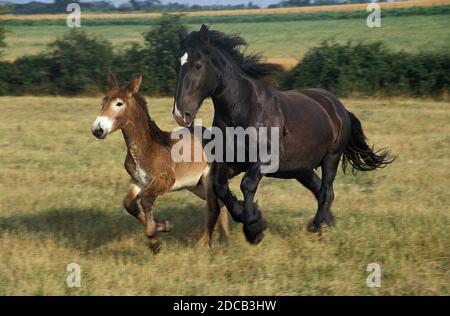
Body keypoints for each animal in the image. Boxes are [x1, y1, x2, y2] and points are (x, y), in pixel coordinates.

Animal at [90, 73, 229, 253]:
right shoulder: (138, 181)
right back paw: (224, 240)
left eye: (119, 103)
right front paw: (162, 227)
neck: (148, 147)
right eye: (103, 101)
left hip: (208, 179)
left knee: (213, 207)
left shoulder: (166, 179)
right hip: (195, 185)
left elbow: (146, 200)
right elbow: (129, 204)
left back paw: (203, 244)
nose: (97, 129)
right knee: (220, 203)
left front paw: (154, 239)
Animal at [173, 25, 394, 244]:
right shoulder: (229, 162)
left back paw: (317, 227)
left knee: (326, 191)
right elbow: (221, 187)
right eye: (178, 65)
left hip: (331, 158)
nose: (180, 114)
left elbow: (247, 184)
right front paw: (253, 220)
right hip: (302, 169)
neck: (245, 108)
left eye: (197, 65)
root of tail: (340, 108)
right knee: (320, 190)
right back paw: (327, 224)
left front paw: (254, 228)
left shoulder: (265, 160)